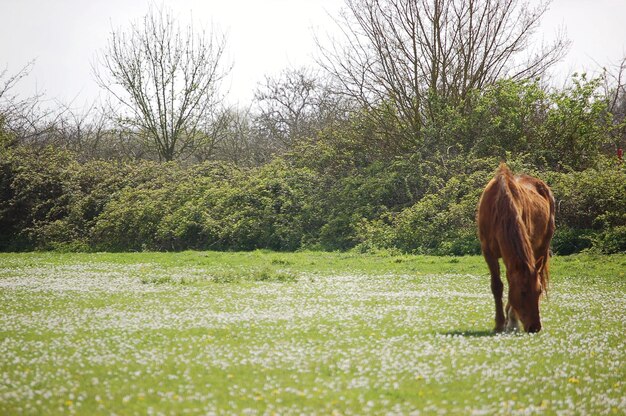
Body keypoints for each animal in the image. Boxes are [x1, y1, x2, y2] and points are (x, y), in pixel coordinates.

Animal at [476, 164, 552, 334]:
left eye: (538, 291)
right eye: (523, 292)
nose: (534, 327)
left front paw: (512, 321)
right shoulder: (488, 252)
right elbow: (497, 286)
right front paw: (499, 323)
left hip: (541, 248)